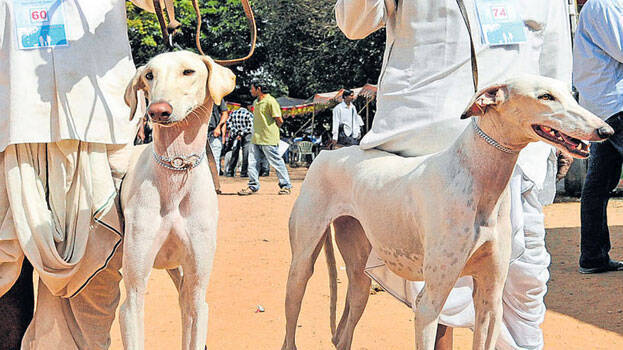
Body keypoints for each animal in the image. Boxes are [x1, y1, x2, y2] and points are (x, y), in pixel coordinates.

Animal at [120, 50, 235, 350]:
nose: (157, 111)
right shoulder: (132, 296)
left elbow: (195, 313)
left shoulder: (198, 290)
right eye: (149, 75)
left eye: (188, 71)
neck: (176, 171)